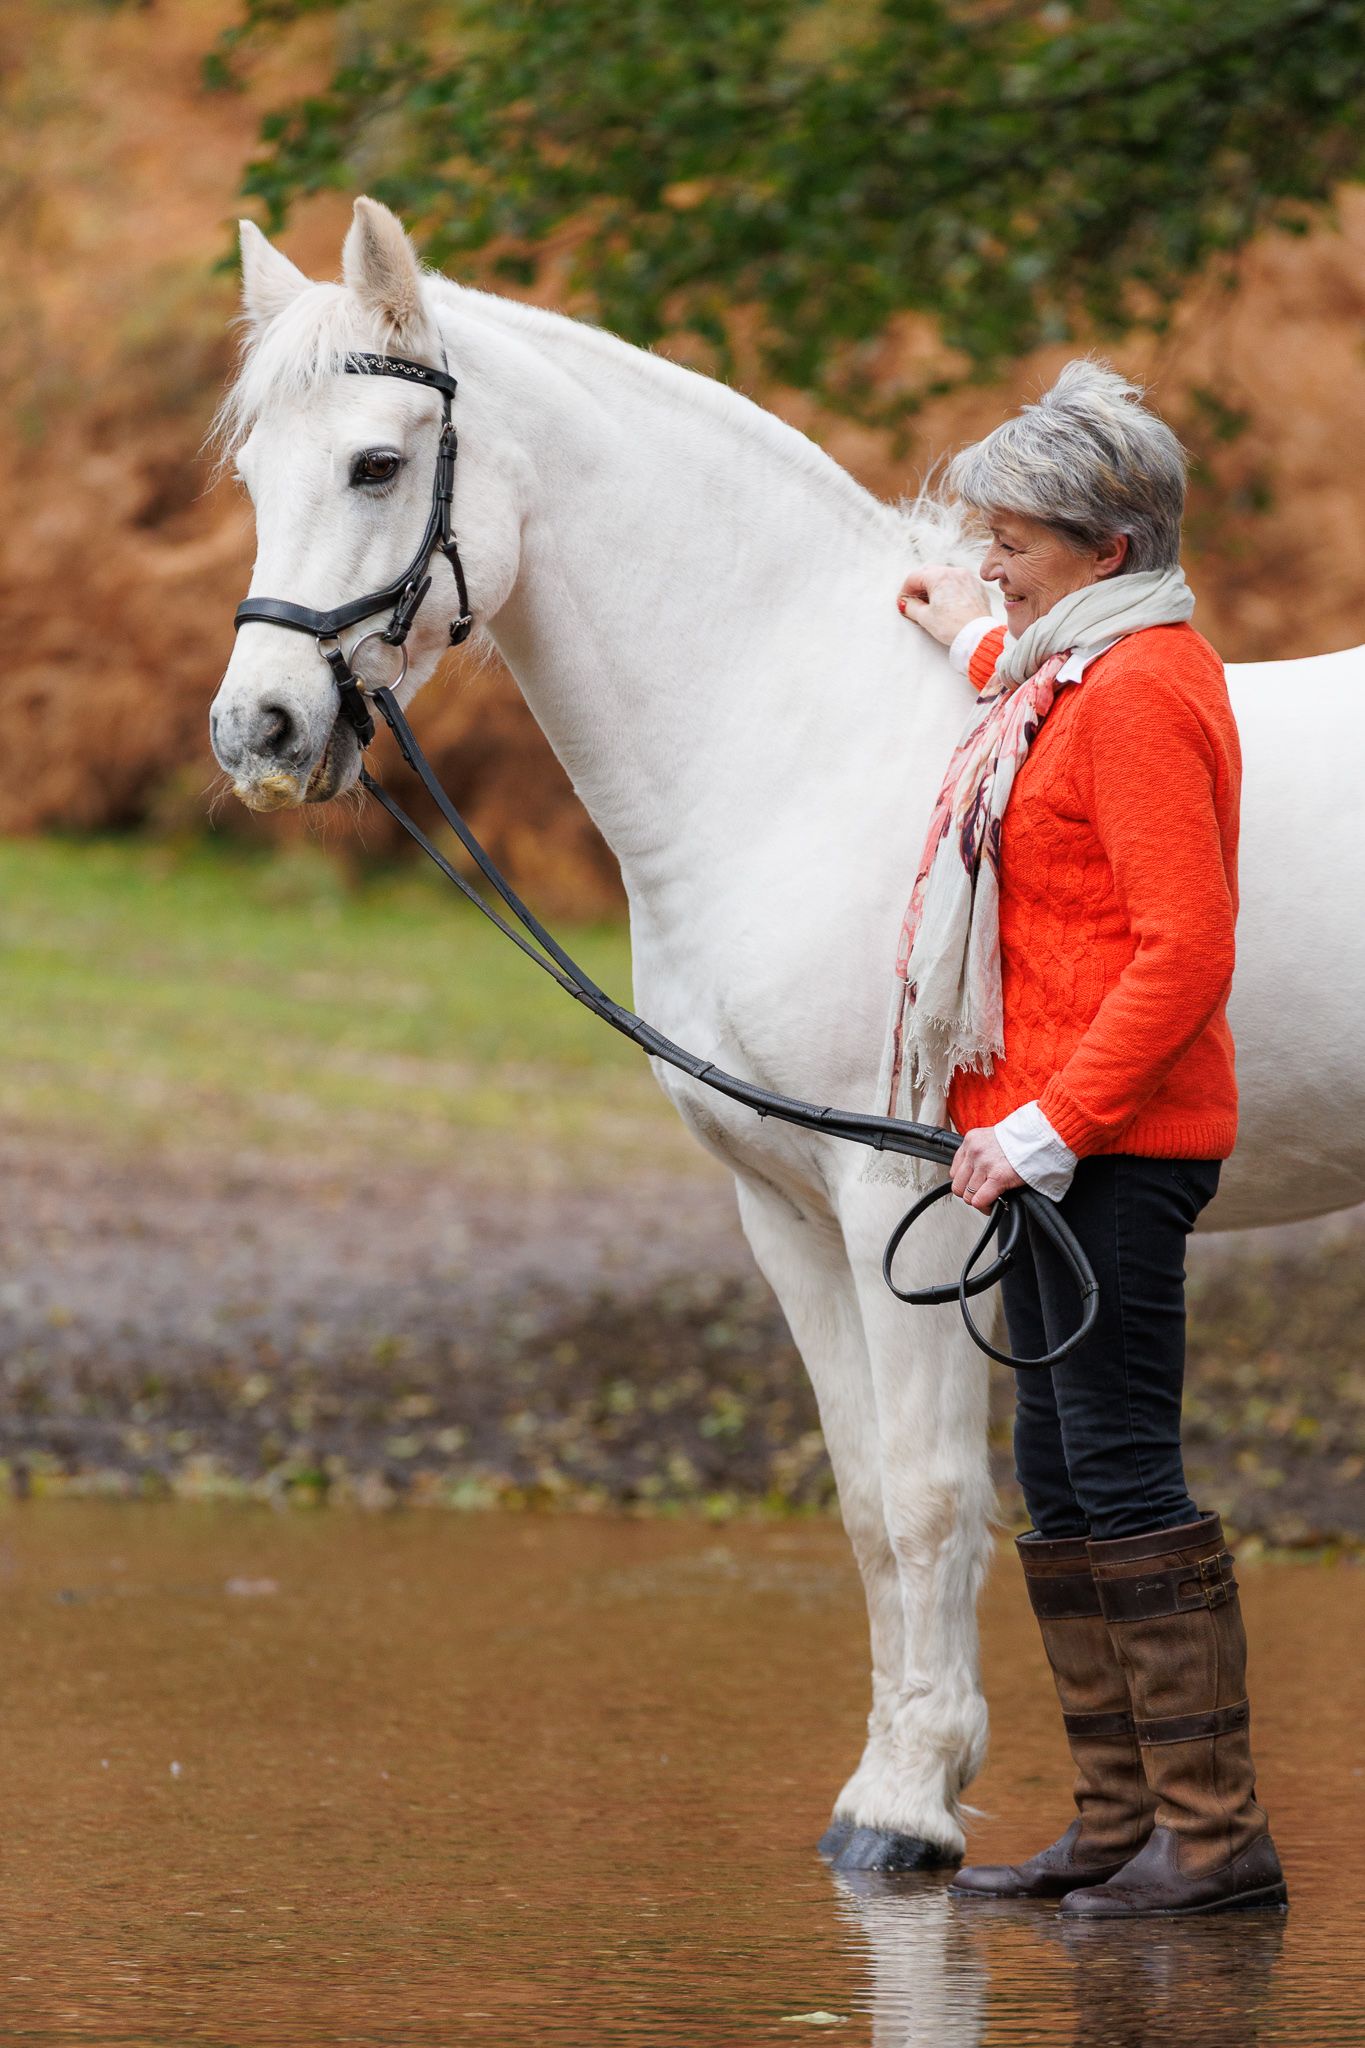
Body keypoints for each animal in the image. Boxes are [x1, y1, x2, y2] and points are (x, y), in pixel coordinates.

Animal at [210, 197, 1365, 1872]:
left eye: (373, 464)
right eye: (252, 474)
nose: (259, 734)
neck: (792, 741)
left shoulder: (913, 1201)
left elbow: (937, 1496)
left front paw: (908, 1810)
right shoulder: (787, 1209)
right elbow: (868, 1502)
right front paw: (886, 1785)